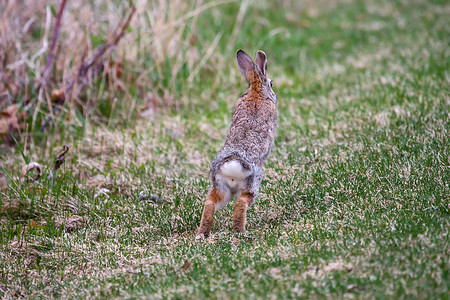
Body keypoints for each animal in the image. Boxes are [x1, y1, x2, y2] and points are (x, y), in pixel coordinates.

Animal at [197, 48, 278, 237]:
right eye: (271, 83)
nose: (274, 92)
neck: (256, 91)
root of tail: (233, 164)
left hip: (220, 187)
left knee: (210, 203)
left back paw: (201, 232)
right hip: (251, 186)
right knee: (241, 203)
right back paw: (241, 232)